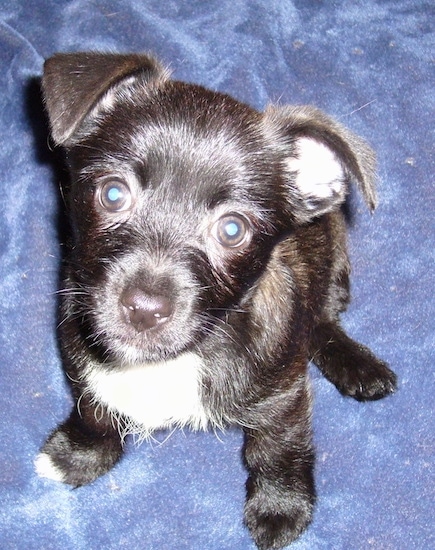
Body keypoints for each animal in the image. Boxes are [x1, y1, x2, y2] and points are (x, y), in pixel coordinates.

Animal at [36, 52, 398, 550]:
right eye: (113, 194)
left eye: (232, 229)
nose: (144, 308)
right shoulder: (80, 348)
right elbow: (94, 409)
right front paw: (78, 454)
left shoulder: (283, 393)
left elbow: (277, 448)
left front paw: (281, 509)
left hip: (335, 257)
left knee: (324, 320)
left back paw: (357, 366)